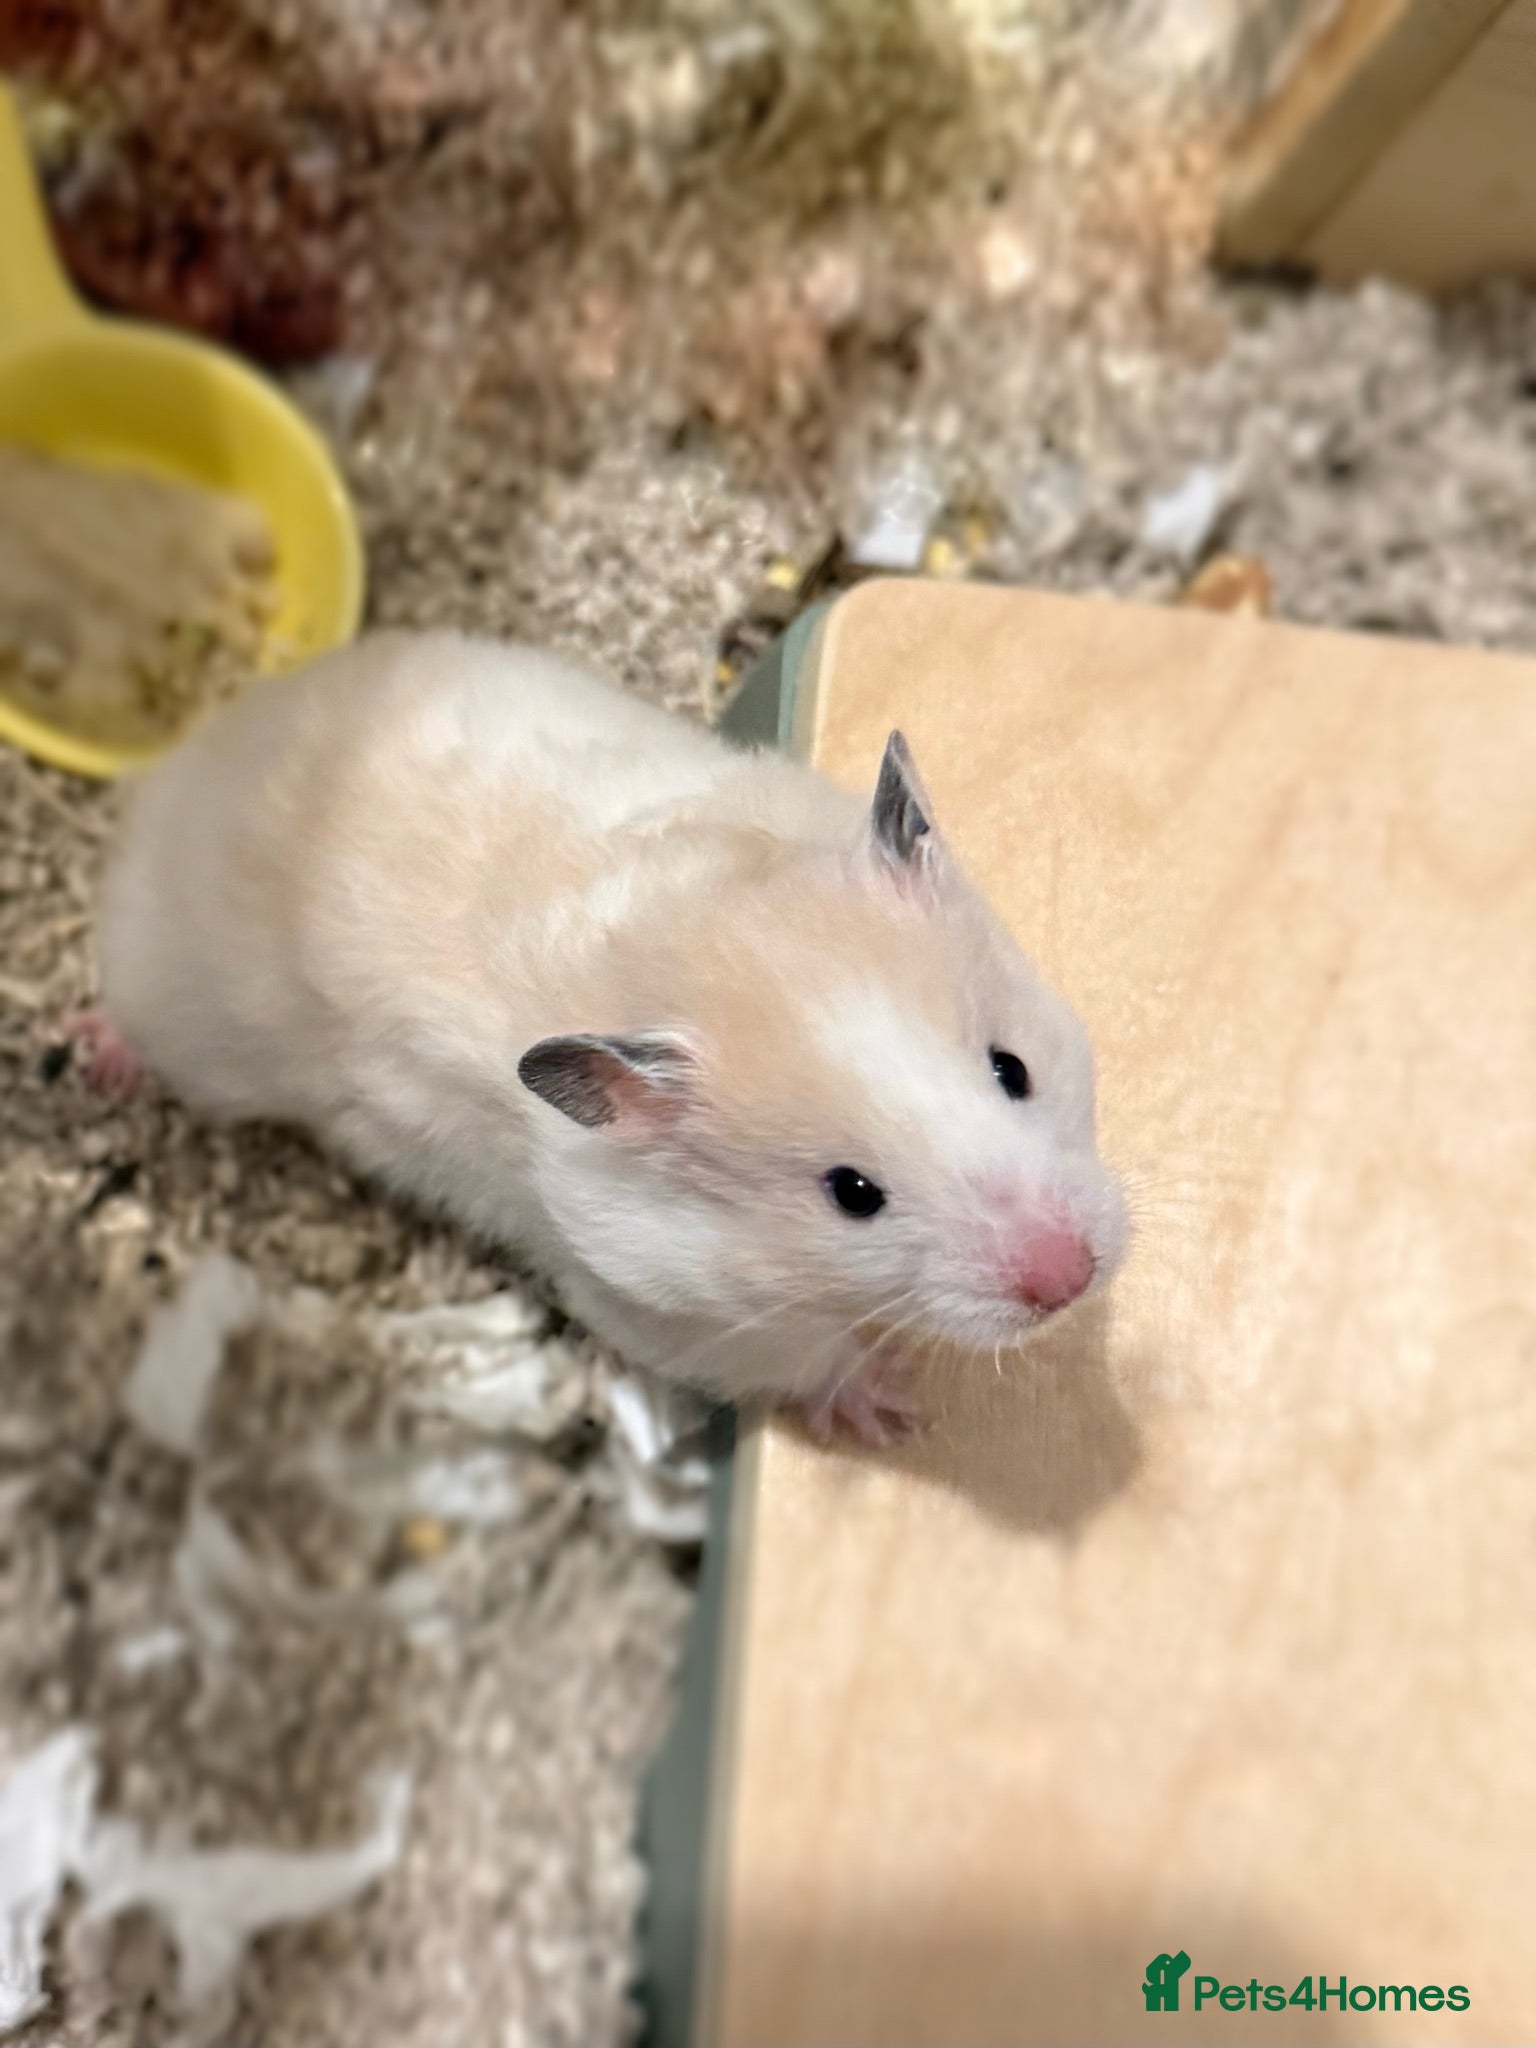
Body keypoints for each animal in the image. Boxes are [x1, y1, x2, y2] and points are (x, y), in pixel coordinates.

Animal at [96, 630, 1127, 1444]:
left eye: (1013, 1068)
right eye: (852, 1195)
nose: (1070, 1280)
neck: (677, 933)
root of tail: (210, 741)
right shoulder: (661, 1306)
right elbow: (804, 1357)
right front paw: (893, 1410)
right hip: (177, 1000)